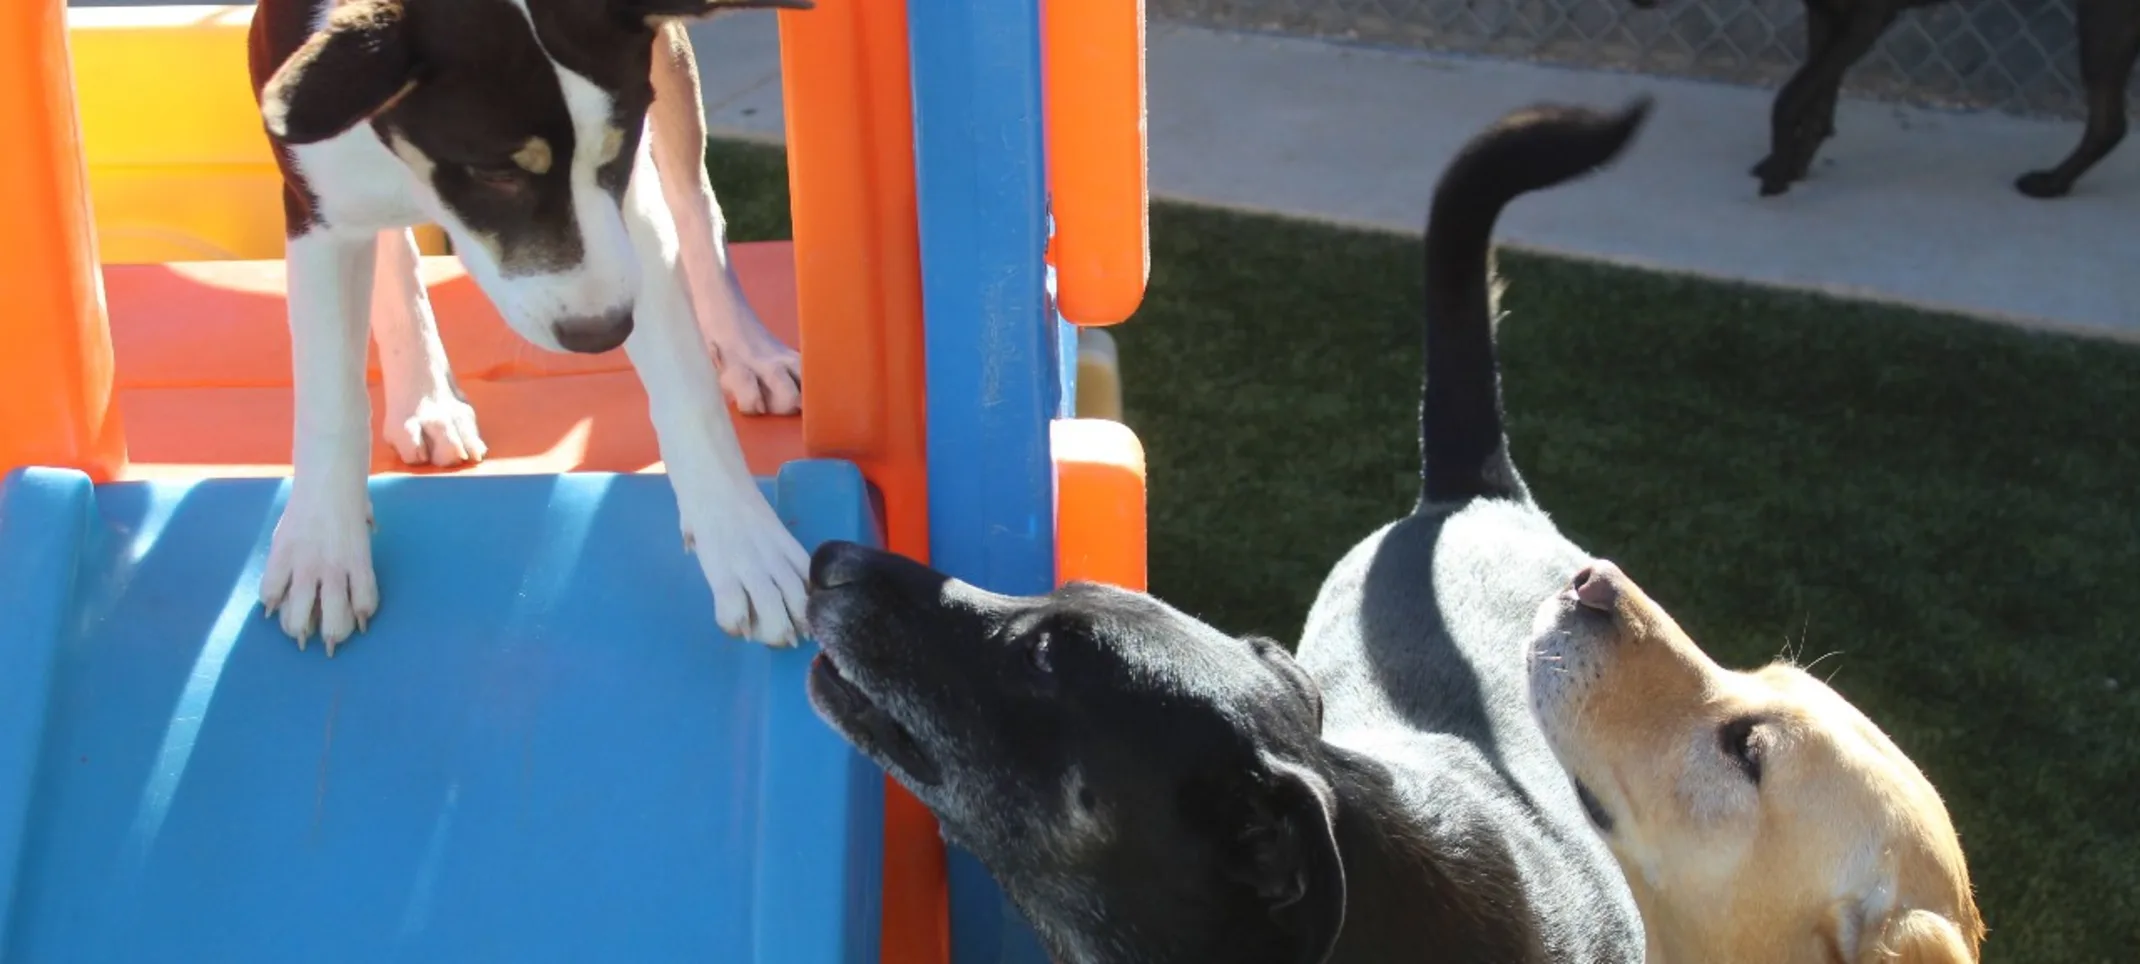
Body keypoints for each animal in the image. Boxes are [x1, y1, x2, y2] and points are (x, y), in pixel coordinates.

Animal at [248, 0, 808, 651]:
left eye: (616, 148)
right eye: (495, 173)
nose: (603, 333)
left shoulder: (630, 196)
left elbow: (688, 388)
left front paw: (747, 545)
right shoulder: (312, 202)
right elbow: (331, 399)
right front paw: (321, 550)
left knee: (694, 201)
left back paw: (748, 351)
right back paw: (426, 396)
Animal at [1729, 0, 2131, 198]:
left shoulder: (1868, 17)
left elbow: (1790, 97)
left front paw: (1778, 176)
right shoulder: (1827, 11)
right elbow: (1816, 105)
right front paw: (1792, 166)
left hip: (2103, 20)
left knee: (2109, 123)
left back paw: (2051, 184)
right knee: (2110, 124)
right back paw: (2057, 183)